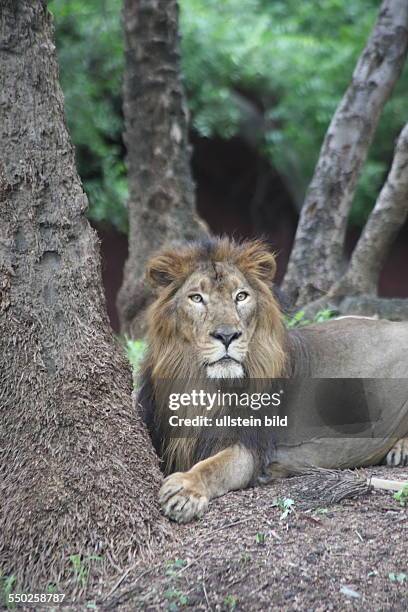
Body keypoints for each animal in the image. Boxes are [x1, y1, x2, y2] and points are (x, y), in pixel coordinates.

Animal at [138, 237, 408, 524]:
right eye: (197, 298)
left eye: (241, 296)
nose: (227, 335)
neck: (200, 384)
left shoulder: (250, 448)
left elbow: (213, 467)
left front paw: (184, 491)